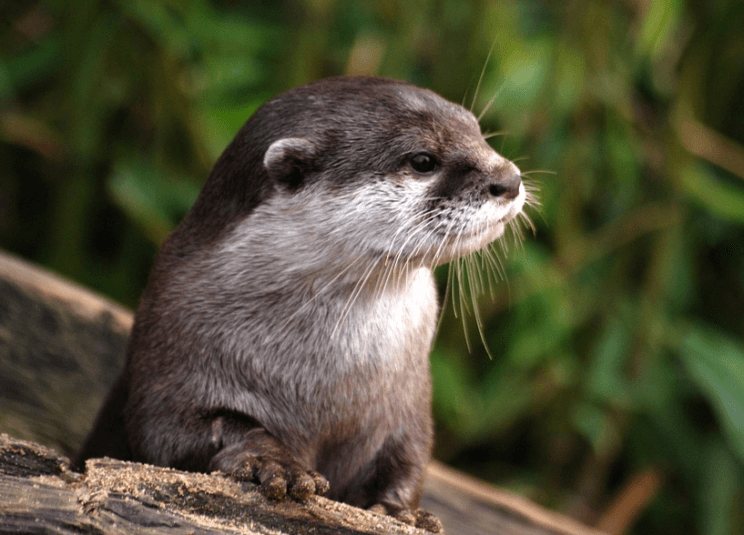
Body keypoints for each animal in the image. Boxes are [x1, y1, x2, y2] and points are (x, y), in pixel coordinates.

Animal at [74, 77, 528, 532]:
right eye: (422, 160)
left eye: (477, 131)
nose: (509, 179)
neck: (325, 383)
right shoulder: (170, 352)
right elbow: (172, 432)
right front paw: (272, 461)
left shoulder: (409, 404)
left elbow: (409, 458)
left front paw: (402, 511)